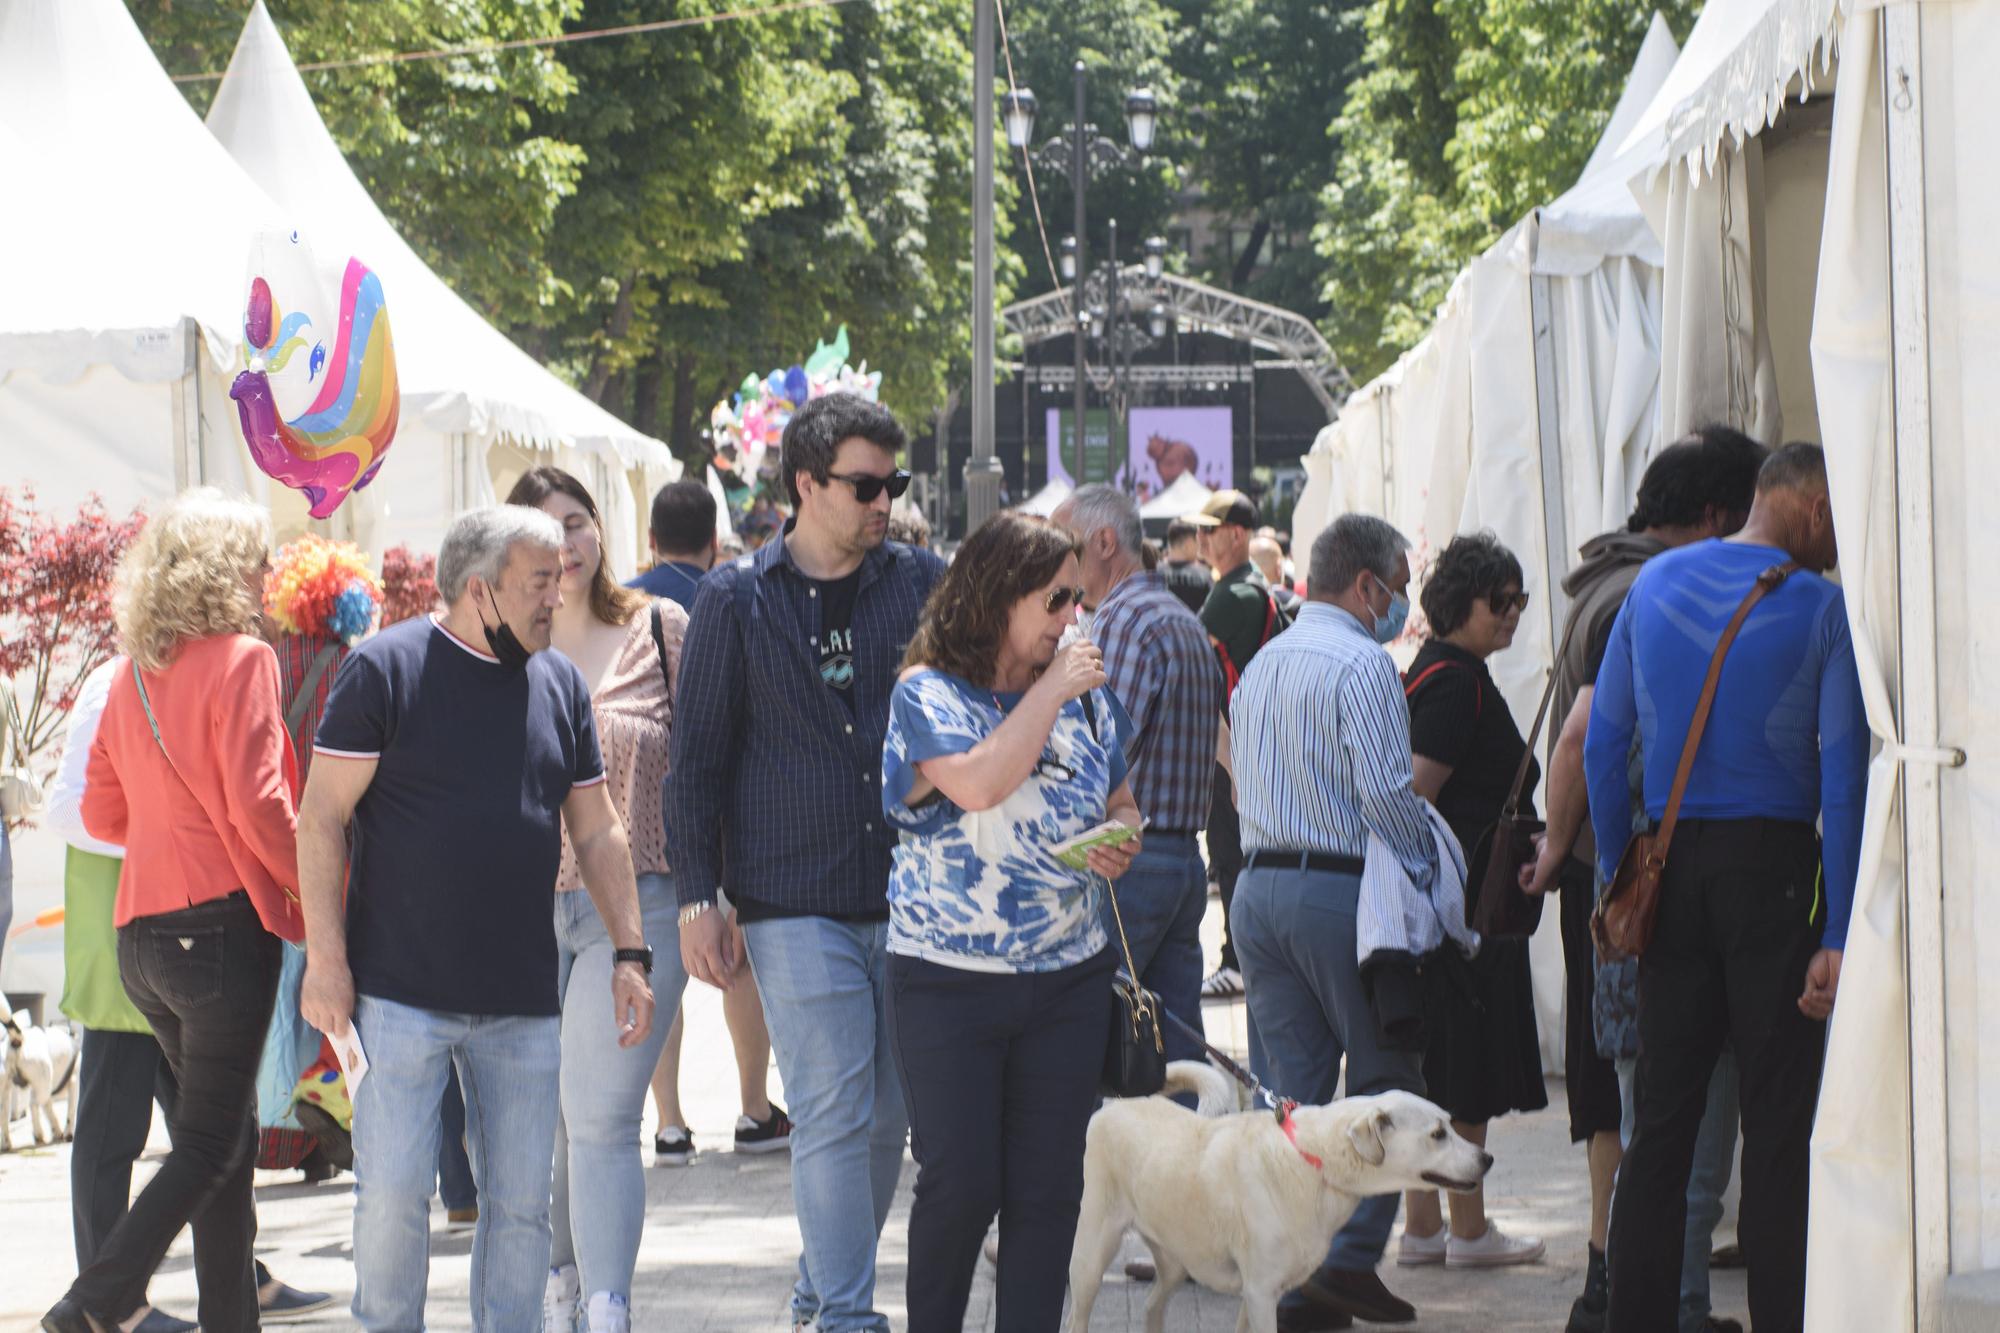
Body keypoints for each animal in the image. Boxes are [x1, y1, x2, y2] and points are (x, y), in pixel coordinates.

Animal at [2, 1000, 78, 1144]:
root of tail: (18, 1040)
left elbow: (51, 1113)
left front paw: (57, 1131)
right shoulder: (73, 1083)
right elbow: (71, 1112)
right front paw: (68, 1133)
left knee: (4, 1117)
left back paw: (6, 1144)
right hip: (43, 1086)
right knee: (33, 1105)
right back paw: (38, 1133)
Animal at [1072, 1056, 1496, 1328]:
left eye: (1450, 1124)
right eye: (1437, 1134)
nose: (1487, 1158)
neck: (1312, 1160)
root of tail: (1115, 1104)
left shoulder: (1256, 1295)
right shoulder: (1261, 1294)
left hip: (1177, 1262)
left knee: (1151, 1306)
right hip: (1091, 1258)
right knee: (1080, 1314)